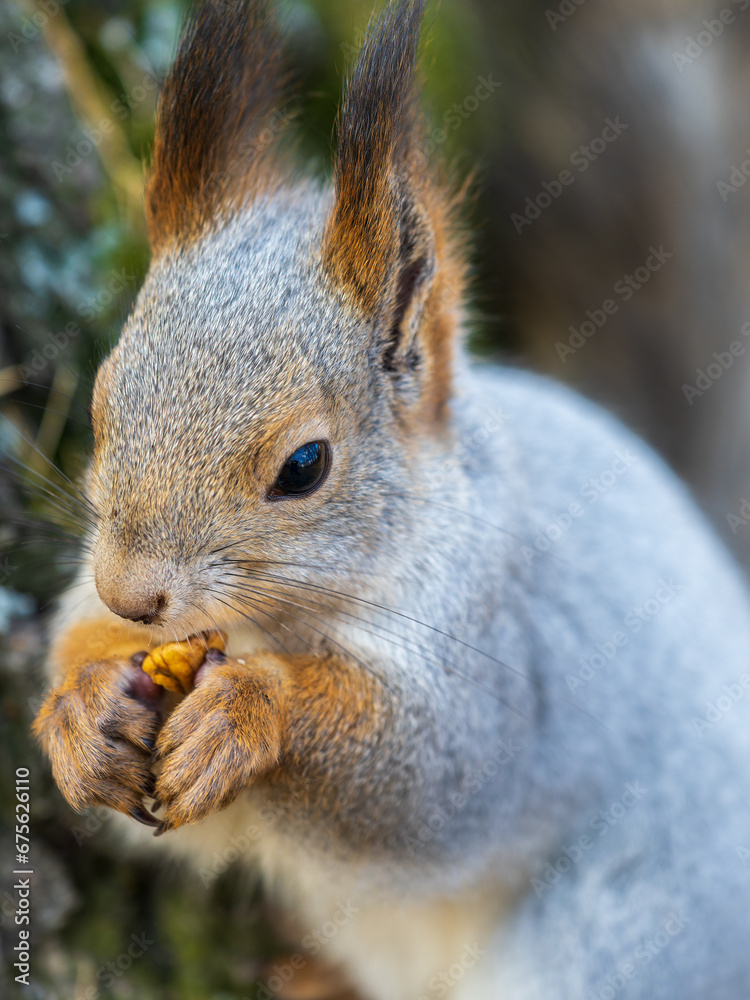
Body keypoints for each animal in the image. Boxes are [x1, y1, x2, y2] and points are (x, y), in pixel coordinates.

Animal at [31, 0, 750, 997]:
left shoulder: (501, 659)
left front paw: (252, 711)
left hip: (620, 940)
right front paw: (81, 711)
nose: (131, 594)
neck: (272, 623)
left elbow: (434, 786)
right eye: (103, 403)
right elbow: (76, 653)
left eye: (303, 465)